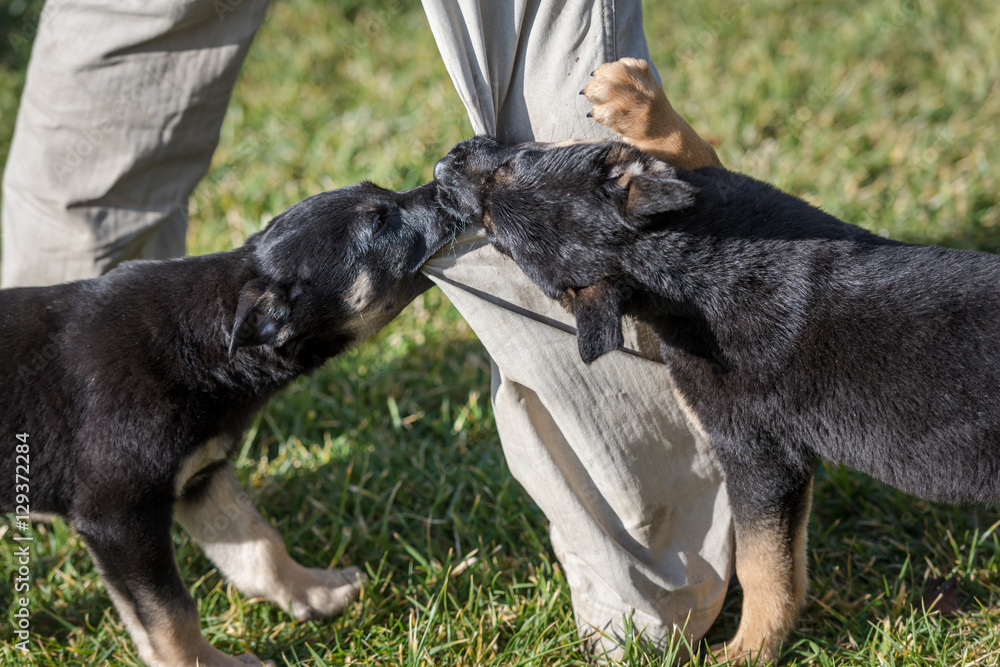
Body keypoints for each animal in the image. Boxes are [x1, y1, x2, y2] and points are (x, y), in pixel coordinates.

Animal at [2, 181, 458, 667]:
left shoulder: (201, 474)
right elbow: (170, 612)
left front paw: (312, 591)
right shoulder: (118, 516)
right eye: (380, 223)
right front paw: (206, 663)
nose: (448, 181)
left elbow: (259, 543)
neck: (204, 343)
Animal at [434, 61, 996, 664]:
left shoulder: (759, 458)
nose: (442, 168)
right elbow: (695, 154)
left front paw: (748, 650)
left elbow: (761, 565)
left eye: (510, 170)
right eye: (496, 233)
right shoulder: (743, 205)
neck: (689, 263)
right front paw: (636, 103)